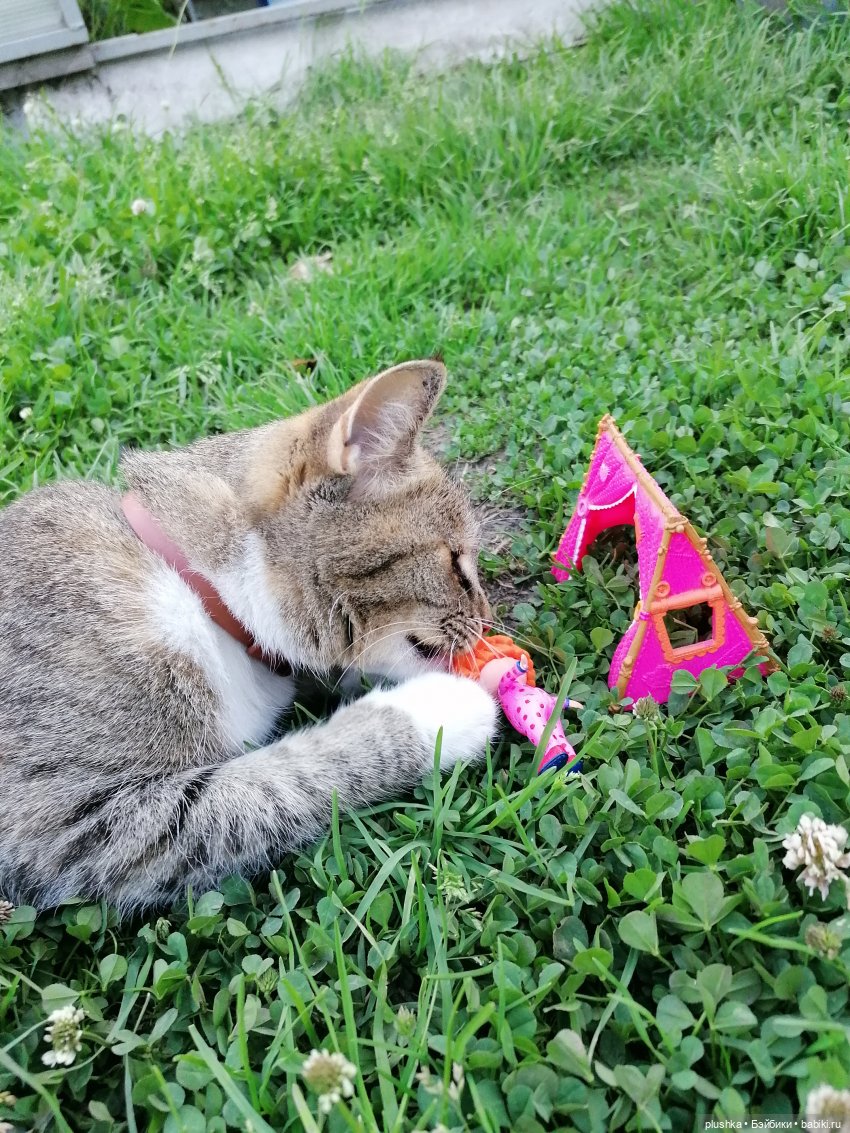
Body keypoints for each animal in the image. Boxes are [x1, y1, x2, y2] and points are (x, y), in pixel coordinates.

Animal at [0, 359, 499, 913]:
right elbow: (279, 781)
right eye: (455, 563)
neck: (201, 591)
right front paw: (442, 712)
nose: (487, 620)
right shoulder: (70, 822)